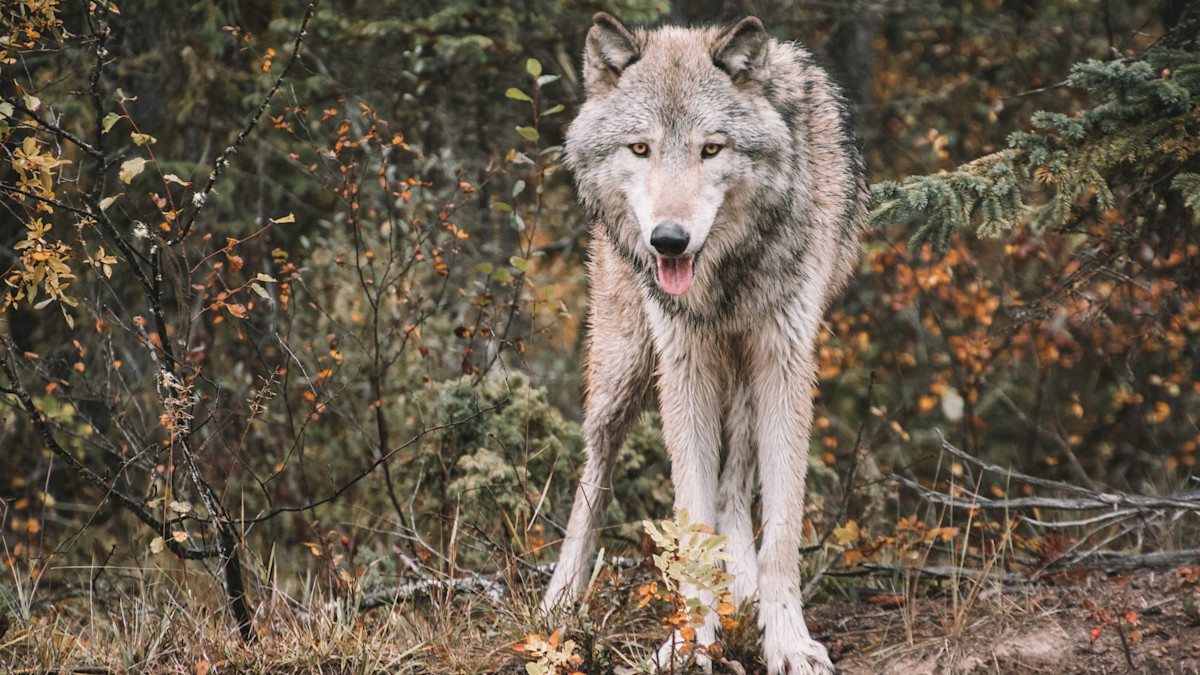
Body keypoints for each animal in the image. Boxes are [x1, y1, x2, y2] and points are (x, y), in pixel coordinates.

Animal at [541, 13, 867, 674]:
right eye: (640, 148)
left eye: (710, 149)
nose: (668, 239)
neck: (726, 276)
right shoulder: (683, 364)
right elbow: (690, 522)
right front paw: (692, 643)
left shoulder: (785, 359)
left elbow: (780, 530)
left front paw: (786, 640)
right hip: (625, 370)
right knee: (596, 467)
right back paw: (561, 601)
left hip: (739, 376)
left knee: (736, 481)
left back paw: (740, 588)